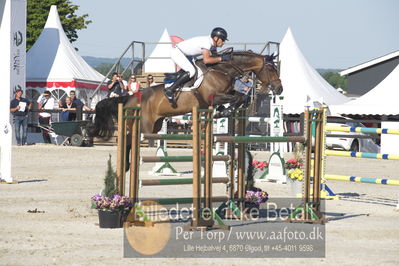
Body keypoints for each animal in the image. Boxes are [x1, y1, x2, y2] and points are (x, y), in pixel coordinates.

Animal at [90, 50, 284, 141]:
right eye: (271, 69)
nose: (280, 89)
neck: (223, 70)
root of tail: (129, 97)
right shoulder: (213, 96)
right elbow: (235, 98)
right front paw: (224, 111)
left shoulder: (227, 92)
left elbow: (241, 97)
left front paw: (224, 111)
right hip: (144, 126)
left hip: (155, 126)